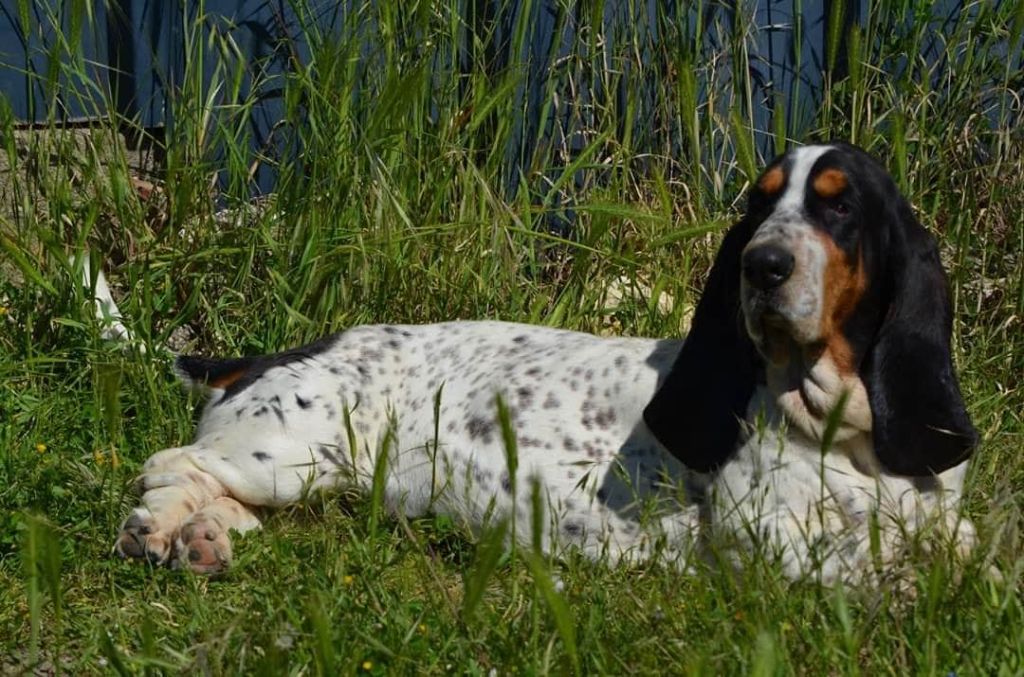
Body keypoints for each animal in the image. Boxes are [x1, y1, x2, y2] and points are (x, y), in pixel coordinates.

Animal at [112, 141, 974, 581]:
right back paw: (158, 529)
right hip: (287, 450)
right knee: (172, 463)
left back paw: (203, 538)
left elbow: (953, 546)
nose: (761, 265)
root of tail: (271, 353)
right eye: (759, 204)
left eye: (839, 204)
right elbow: (875, 561)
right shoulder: (764, 536)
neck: (846, 433)